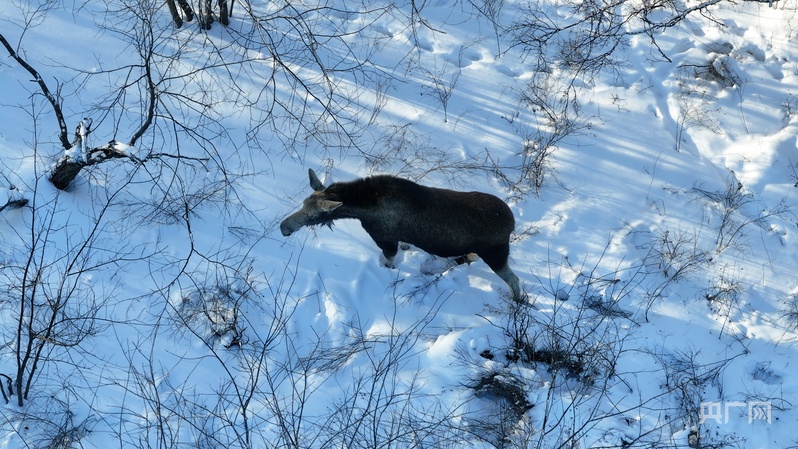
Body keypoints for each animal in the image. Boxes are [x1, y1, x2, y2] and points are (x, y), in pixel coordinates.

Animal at [282, 169, 524, 300]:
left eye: (313, 215)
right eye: (303, 204)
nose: (284, 228)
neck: (361, 209)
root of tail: (512, 223)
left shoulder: (384, 239)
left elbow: (389, 261)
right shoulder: (397, 237)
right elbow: (405, 245)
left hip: (496, 254)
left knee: (514, 279)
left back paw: (518, 301)